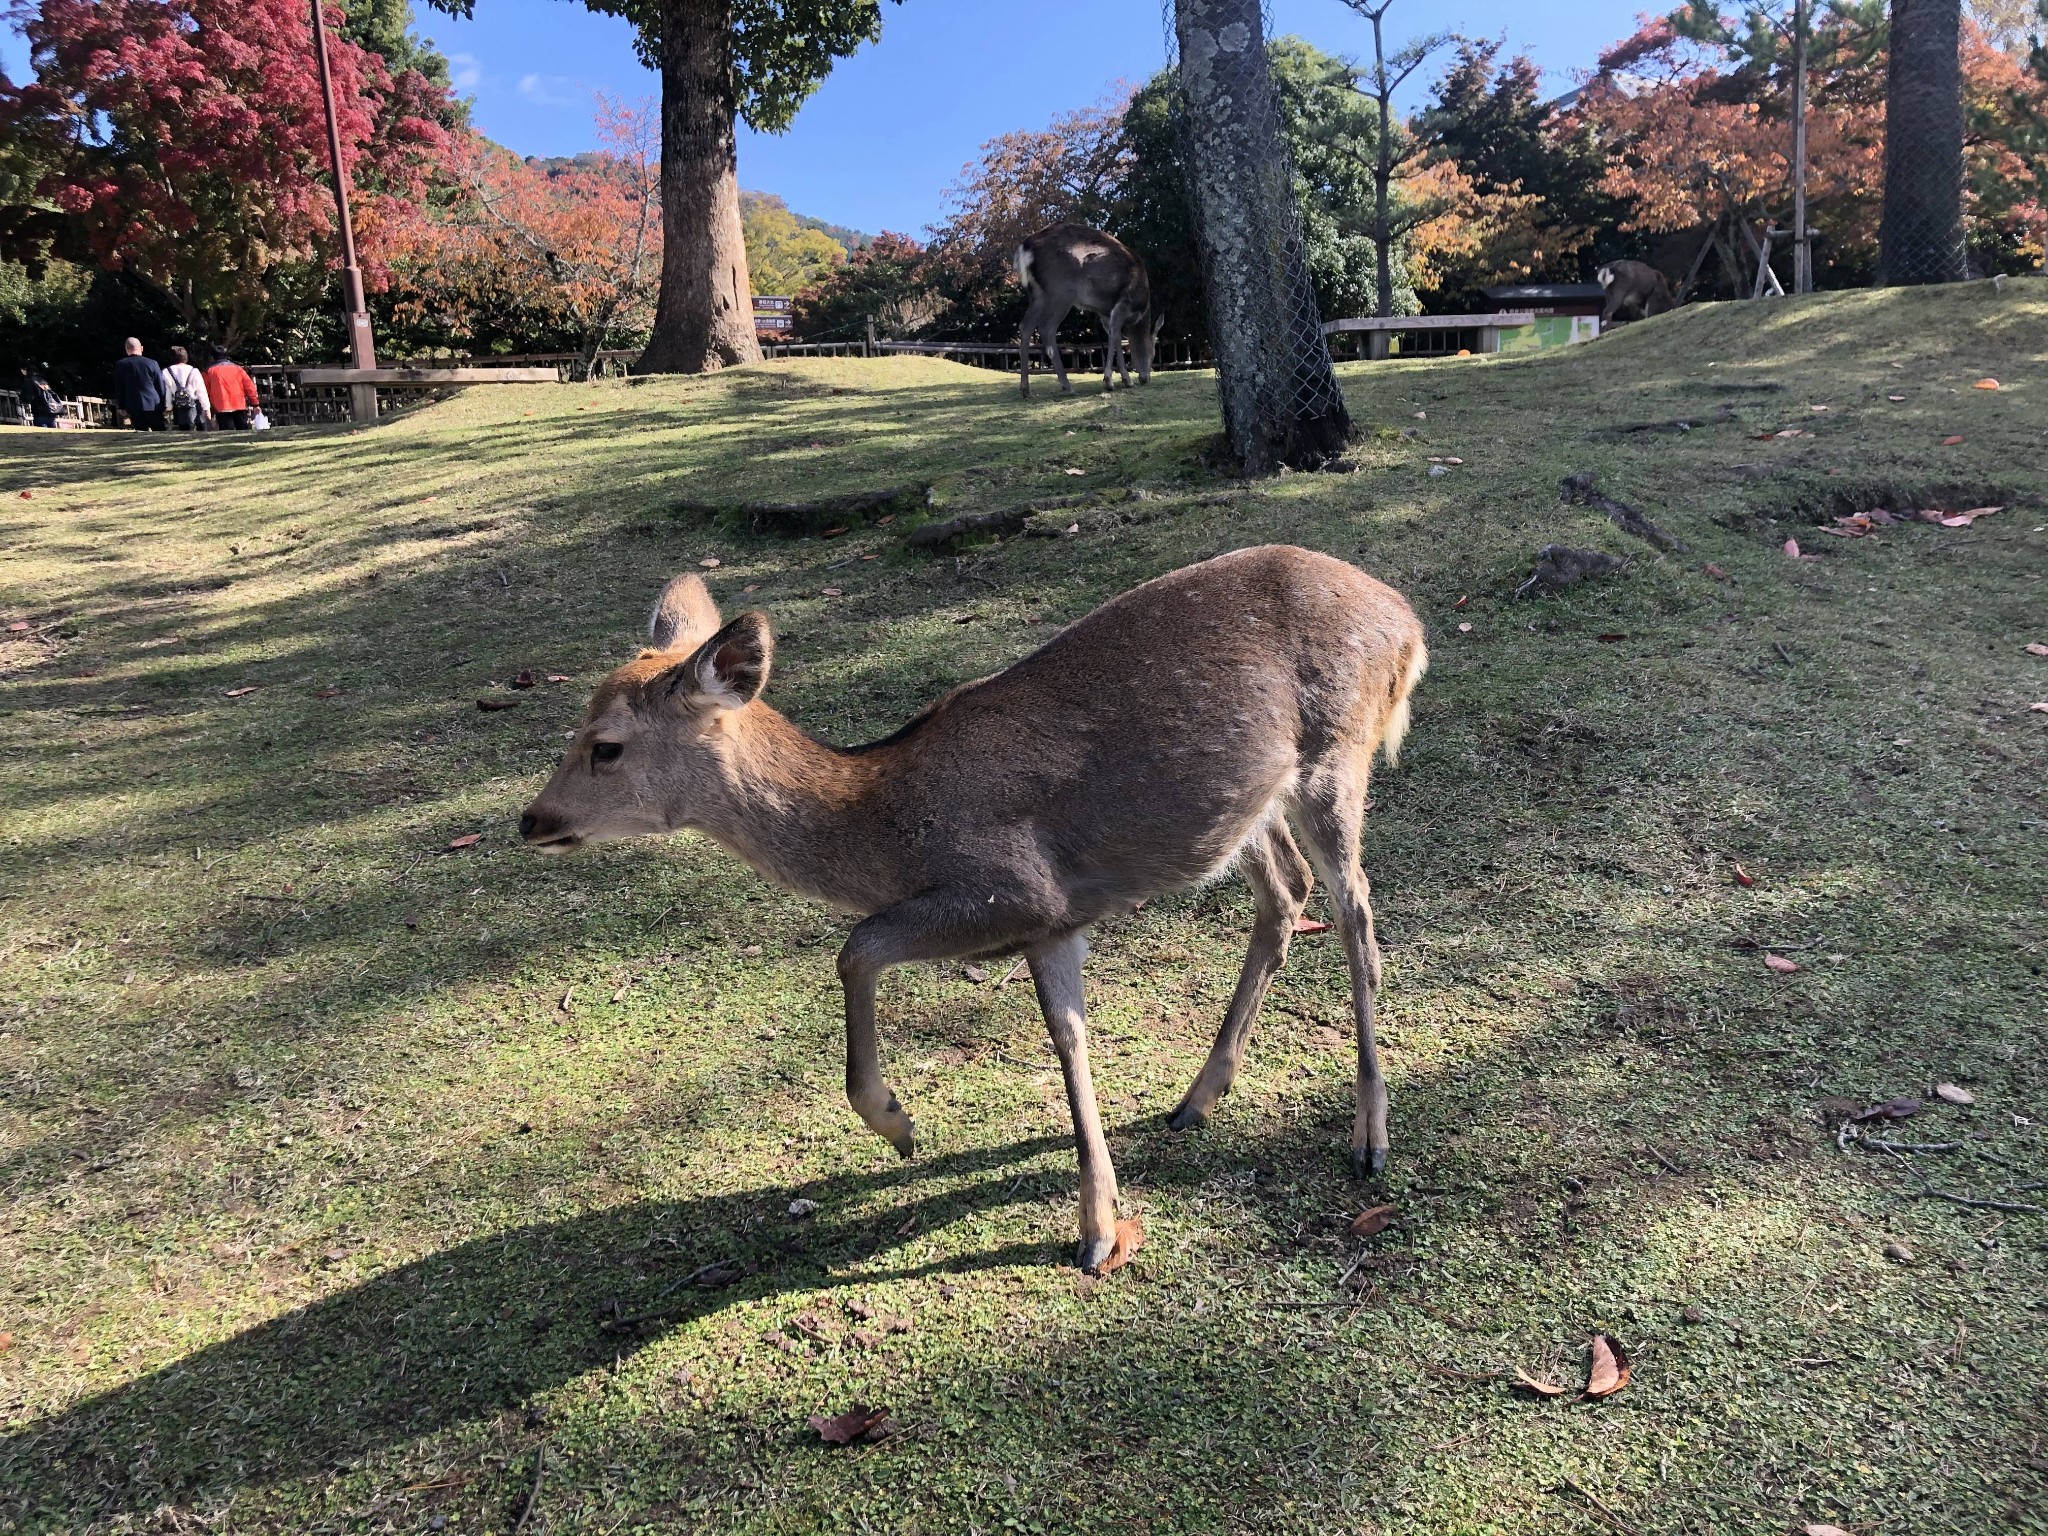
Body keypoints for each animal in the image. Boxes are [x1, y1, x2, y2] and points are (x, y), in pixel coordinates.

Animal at [520, 548, 1433, 1269]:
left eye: (606, 746)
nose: (531, 820)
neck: (888, 819)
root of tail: (1409, 622)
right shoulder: (1055, 921)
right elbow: (1069, 1041)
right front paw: (1101, 1225)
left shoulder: (1018, 889)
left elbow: (857, 945)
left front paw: (899, 1124)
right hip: (1252, 807)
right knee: (1287, 892)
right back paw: (1197, 1099)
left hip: (1338, 754)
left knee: (1356, 910)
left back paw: (1369, 1138)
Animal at [1011, 225, 1163, 403]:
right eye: (1153, 352)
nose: (1145, 379)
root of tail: (1025, 248)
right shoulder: (1123, 303)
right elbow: (1115, 336)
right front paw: (1113, 381)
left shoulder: (1105, 313)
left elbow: (1115, 337)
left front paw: (1123, 380)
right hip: (1061, 291)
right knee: (1046, 329)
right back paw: (1067, 386)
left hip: (1037, 294)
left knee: (1025, 325)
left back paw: (1026, 390)